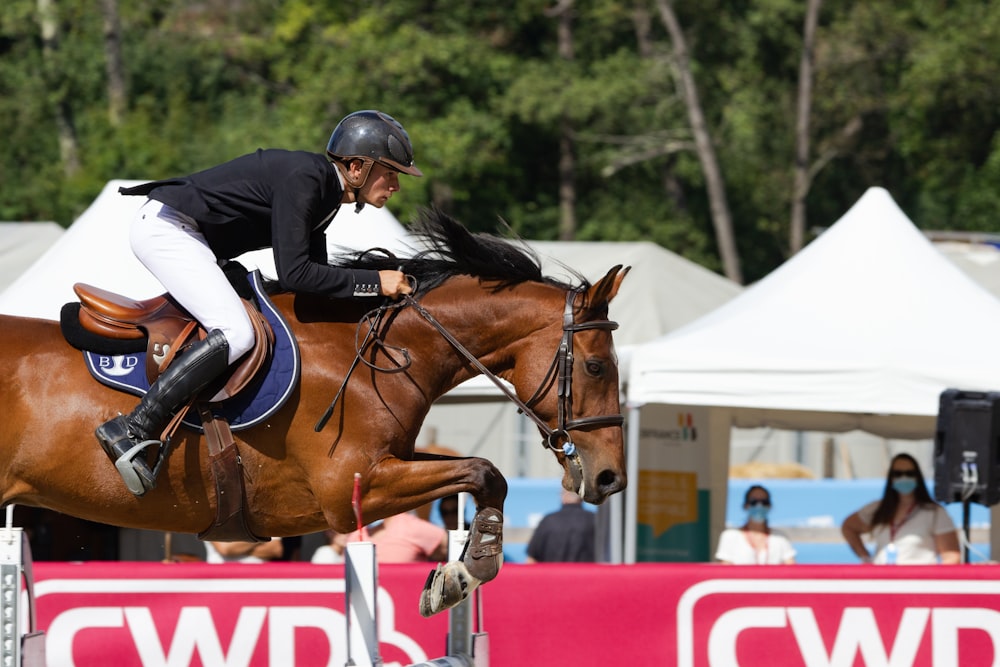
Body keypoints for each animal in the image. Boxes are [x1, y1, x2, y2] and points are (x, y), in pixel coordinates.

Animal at [0, 213, 624, 616]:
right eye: (596, 367)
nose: (610, 478)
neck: (379, 350)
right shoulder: (351, 490)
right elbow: (484, 471)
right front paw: (463, 575)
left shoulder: (390, 463)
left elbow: (484, 474)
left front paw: (455, 576)